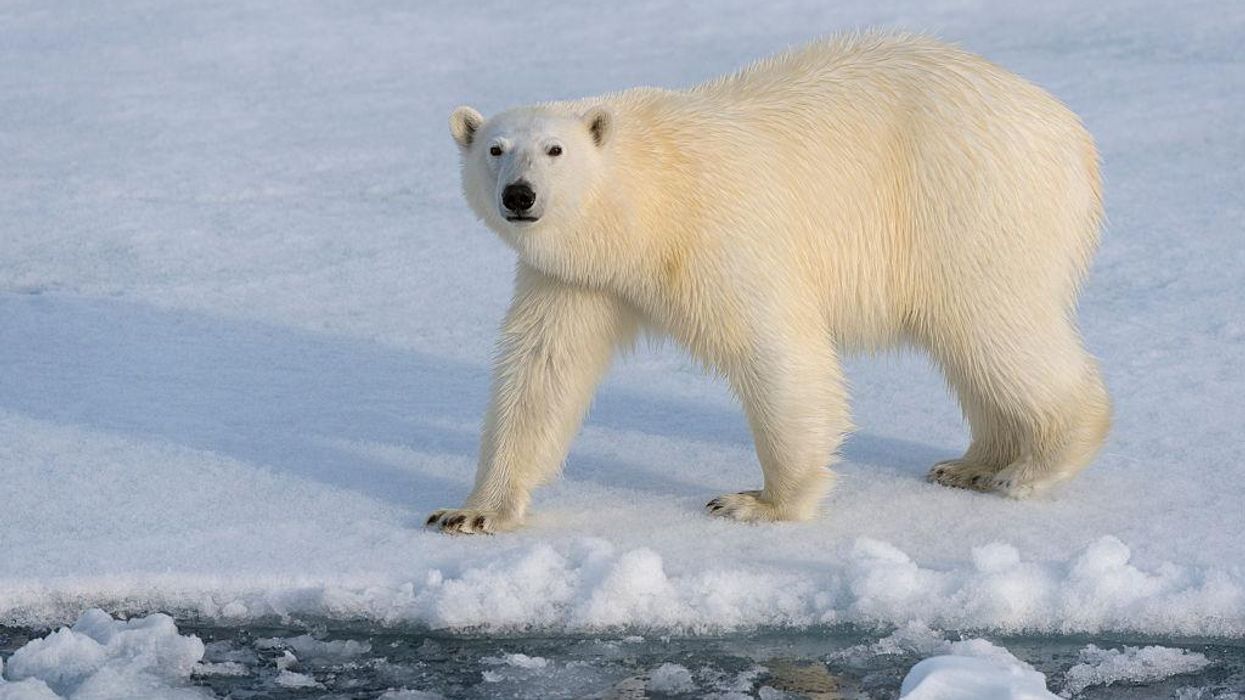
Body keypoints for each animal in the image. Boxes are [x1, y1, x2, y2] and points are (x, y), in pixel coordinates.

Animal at [427, 31, 1111, 535]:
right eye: (495, 148)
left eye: (555, 149)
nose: (519, 195)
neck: (645, 205)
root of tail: (1073, 135)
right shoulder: (575, 278)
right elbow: (543, 372)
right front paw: (472, 511)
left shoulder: (717, 234)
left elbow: (777, 353)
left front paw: (758, 502)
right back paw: (970, 464)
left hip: (971, 202)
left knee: (996, 328)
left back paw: (1031, 469)